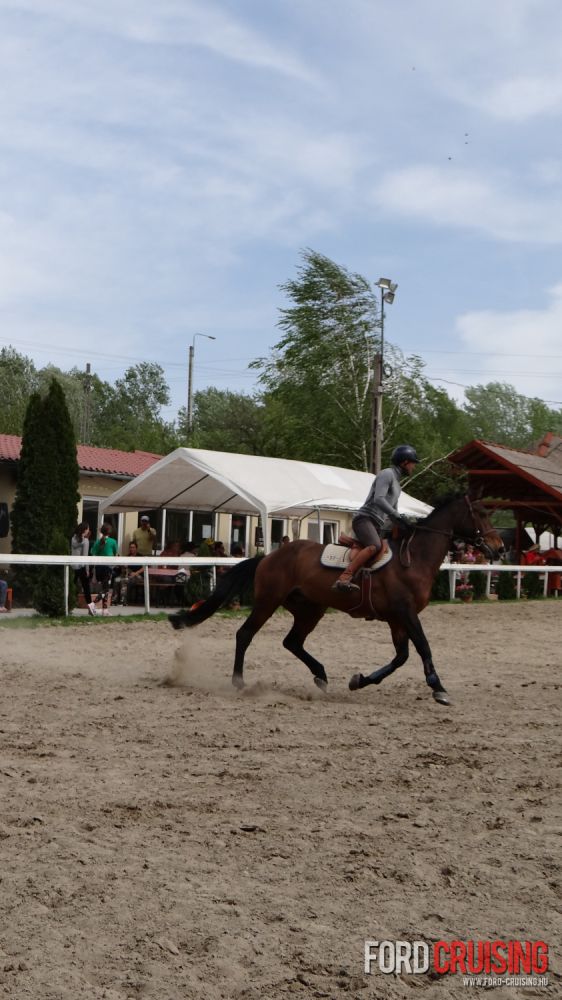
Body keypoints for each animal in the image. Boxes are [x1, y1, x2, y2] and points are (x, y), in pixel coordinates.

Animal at [170, 494, 504, 704]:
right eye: (481, 514)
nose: (499, 548)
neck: (414, 558)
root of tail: (270, 555)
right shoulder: (406, 613)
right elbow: (423, 648)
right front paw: (438, 688)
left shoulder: (397, 619)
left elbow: (401, 657)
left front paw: (360, 680)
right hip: (268, 602)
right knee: (245, 634)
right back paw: (239, 682)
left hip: (311, 609)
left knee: (292, 642)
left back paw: (320, 675)